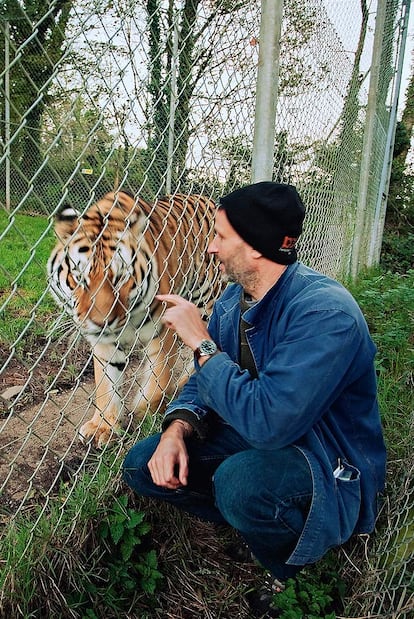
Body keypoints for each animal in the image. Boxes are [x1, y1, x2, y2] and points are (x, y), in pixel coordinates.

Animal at [47, 191, 223, 448]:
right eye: (79, 278)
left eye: (120, 277)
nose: (101, 322)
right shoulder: (105, 344)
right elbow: (106, 383)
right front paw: (104, 426)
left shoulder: (164, 328)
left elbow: (159, 375)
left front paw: (145, 410)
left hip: (205, 300)